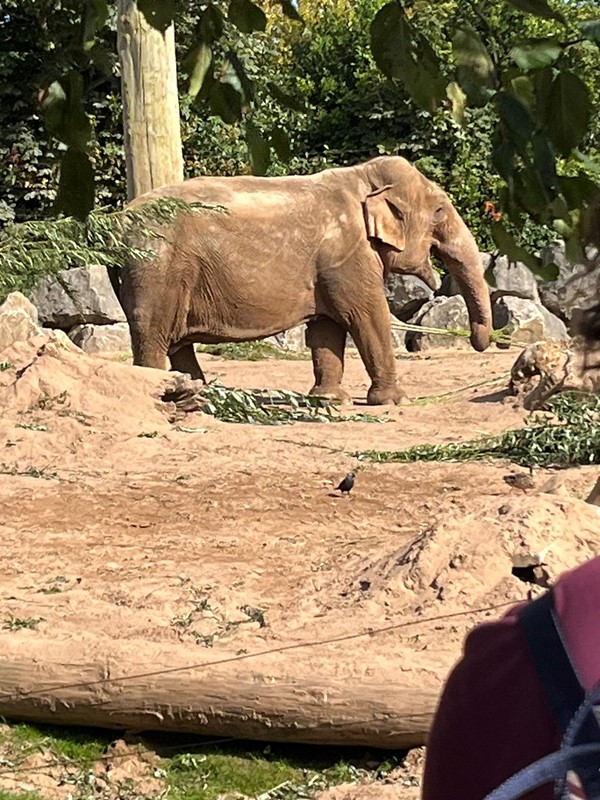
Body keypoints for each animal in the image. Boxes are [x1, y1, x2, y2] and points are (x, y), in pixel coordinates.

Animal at [120, 155, 492, 406]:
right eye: (440, 211)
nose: (479, 341)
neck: (363, 176)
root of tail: (118, 220)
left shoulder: (329, 267)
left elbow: (328, 327)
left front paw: (330, 400)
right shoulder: (348, 256)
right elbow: (367, 315)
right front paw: (395, 401)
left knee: (176, 342)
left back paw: (200, 397)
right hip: (156, 268)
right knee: (154, 336)